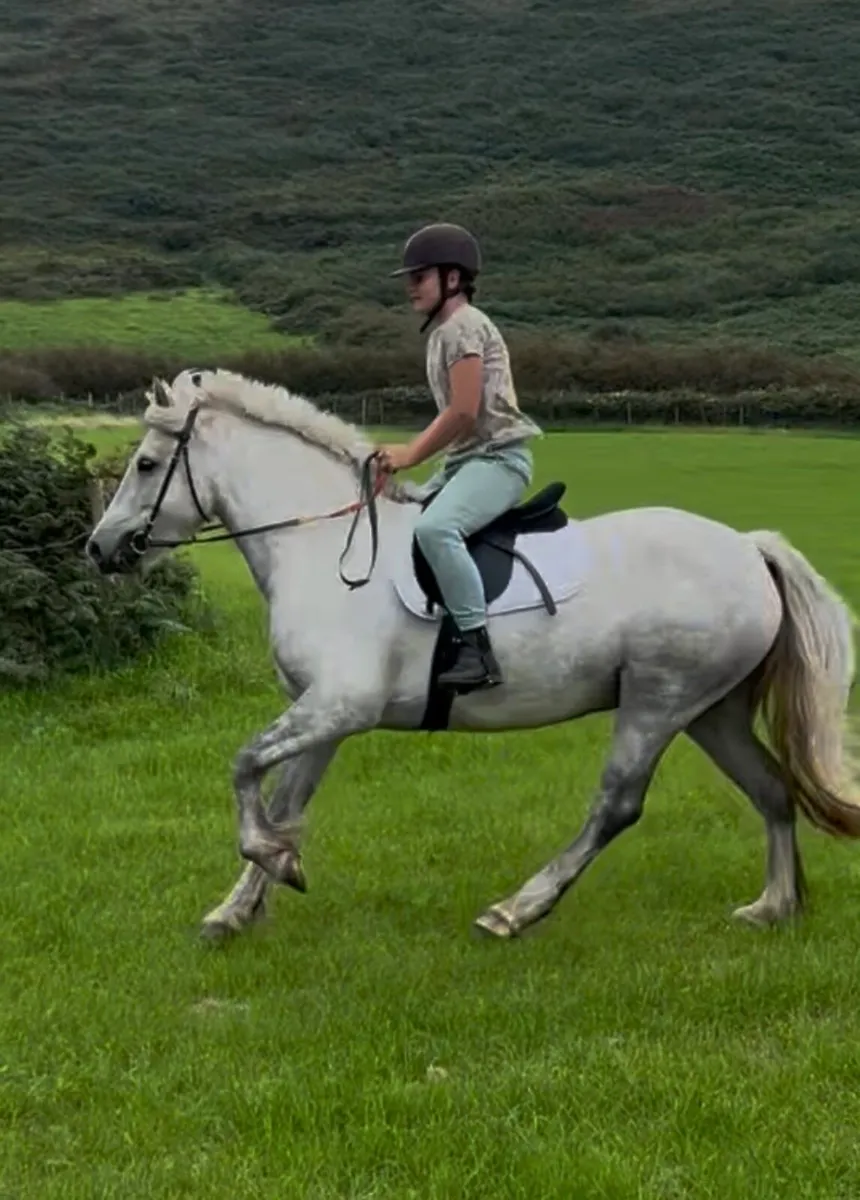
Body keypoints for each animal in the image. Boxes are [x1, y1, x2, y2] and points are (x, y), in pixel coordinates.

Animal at [85, 367, 860, 944]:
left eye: (146, 464)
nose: (100, 548)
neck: (320, 548)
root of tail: (749, 547)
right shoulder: (322, 715)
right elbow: (285, 800)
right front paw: (243, 902)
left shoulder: (341, 704)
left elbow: (245, 767)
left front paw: (275, 863)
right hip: (711, 710)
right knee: (772, 790)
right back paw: (772, 908)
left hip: (658, 700)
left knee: (617, 805)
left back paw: (515, 911)